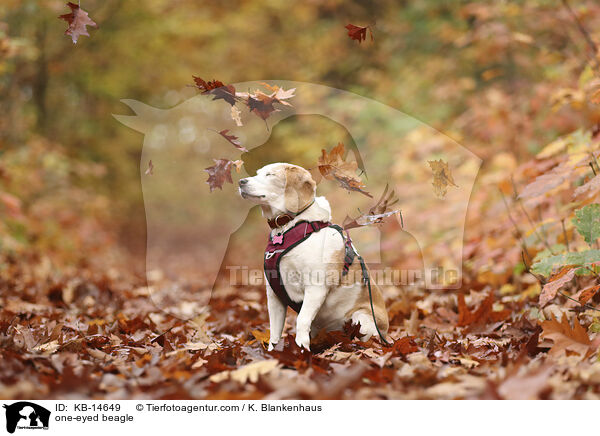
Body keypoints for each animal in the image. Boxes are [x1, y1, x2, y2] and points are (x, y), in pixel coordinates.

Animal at [239, 163, 390, 350]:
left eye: (270, 174)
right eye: (258, 173)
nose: (241, 182)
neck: (288, 227)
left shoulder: (316, 287)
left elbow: (301, 320)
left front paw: (301, 349)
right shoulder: (274, 295)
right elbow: (274, 332)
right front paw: (273, 352)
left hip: (361, 318)